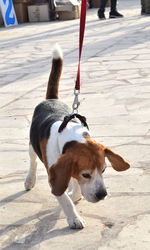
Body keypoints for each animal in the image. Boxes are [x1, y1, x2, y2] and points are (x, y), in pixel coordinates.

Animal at [24, 44, 130, 229]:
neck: (69, 135)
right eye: (86, 175)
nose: (102, 195)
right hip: (32, 146)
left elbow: (73, 189)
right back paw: (30, 180)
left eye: (104, 170)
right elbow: (65, 198)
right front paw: (74, 218)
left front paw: (74, 193)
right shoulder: (54, 173)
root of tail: (51, 99)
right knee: (33, 161)